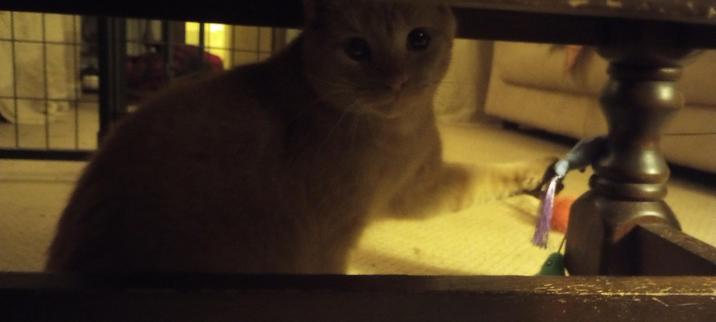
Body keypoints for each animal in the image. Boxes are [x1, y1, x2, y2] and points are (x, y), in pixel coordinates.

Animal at [47, 0, 556, 272]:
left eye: (418, 39)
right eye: (357, 49)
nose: (395, 82)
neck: (400, 131)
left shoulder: (421, 188)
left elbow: (484, 175)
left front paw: (541, 172)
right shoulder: (330, 241)